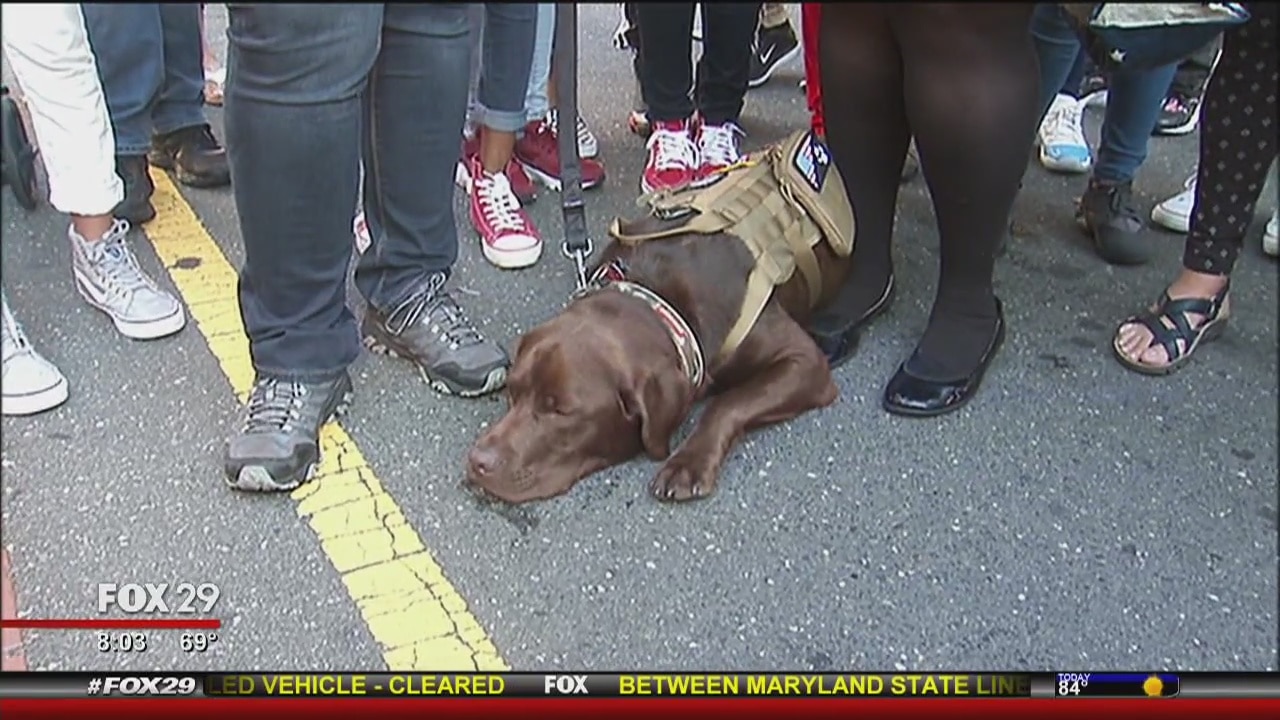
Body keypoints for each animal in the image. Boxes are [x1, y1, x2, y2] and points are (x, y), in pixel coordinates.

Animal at [467, 130, 856, 504]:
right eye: (513, 390)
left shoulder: (805, 361)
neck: (660, 301)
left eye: (561, 411)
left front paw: (687, 463)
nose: (478, 460)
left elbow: (728, 402)